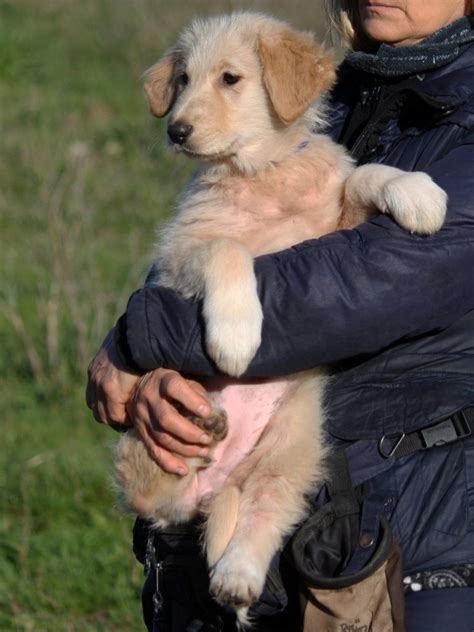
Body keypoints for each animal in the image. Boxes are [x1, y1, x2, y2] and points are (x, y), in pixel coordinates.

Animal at [114, 11, 444, 624]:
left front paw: (418, 194)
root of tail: (212, 488)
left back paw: (238, 574)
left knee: (266, 508)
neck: (261, 172)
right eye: (182, 80)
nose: (177, 131)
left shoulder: (337, 230)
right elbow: (228, 249)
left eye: (230, 79)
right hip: (146, 450)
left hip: (295, 442)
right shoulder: (178, 257)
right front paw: (237, 336)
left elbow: (364, 176)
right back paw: (208, 428)